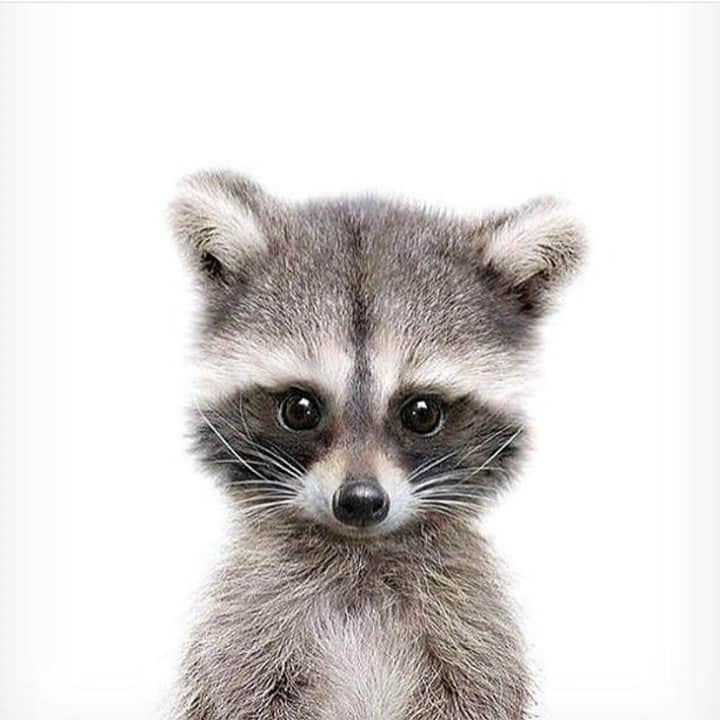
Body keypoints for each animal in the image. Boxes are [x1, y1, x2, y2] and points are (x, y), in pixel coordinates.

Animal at [169, 171, 584, 720]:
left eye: (421, 413)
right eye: (300, 410)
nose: (360, 502)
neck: (361, 553)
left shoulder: (471, 626)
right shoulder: (247, 622)